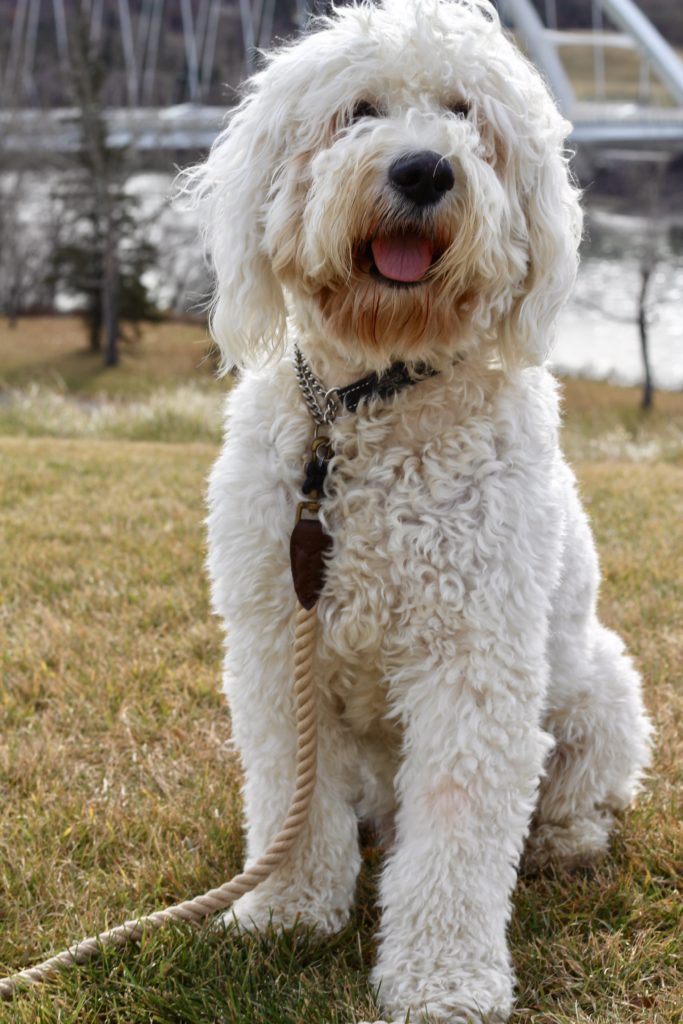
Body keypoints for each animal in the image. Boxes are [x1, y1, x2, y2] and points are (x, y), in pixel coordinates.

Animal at [185, 4, 651, 1019]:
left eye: (465, 113)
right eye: (357, 110)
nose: (424, 169)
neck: (370, 398)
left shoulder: (470, 658)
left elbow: (458, 835)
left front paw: (443, 979)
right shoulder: (277, 641)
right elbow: (291, 793)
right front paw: (286, 911)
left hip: (598, 683)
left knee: (574, 791)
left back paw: (563, 842)